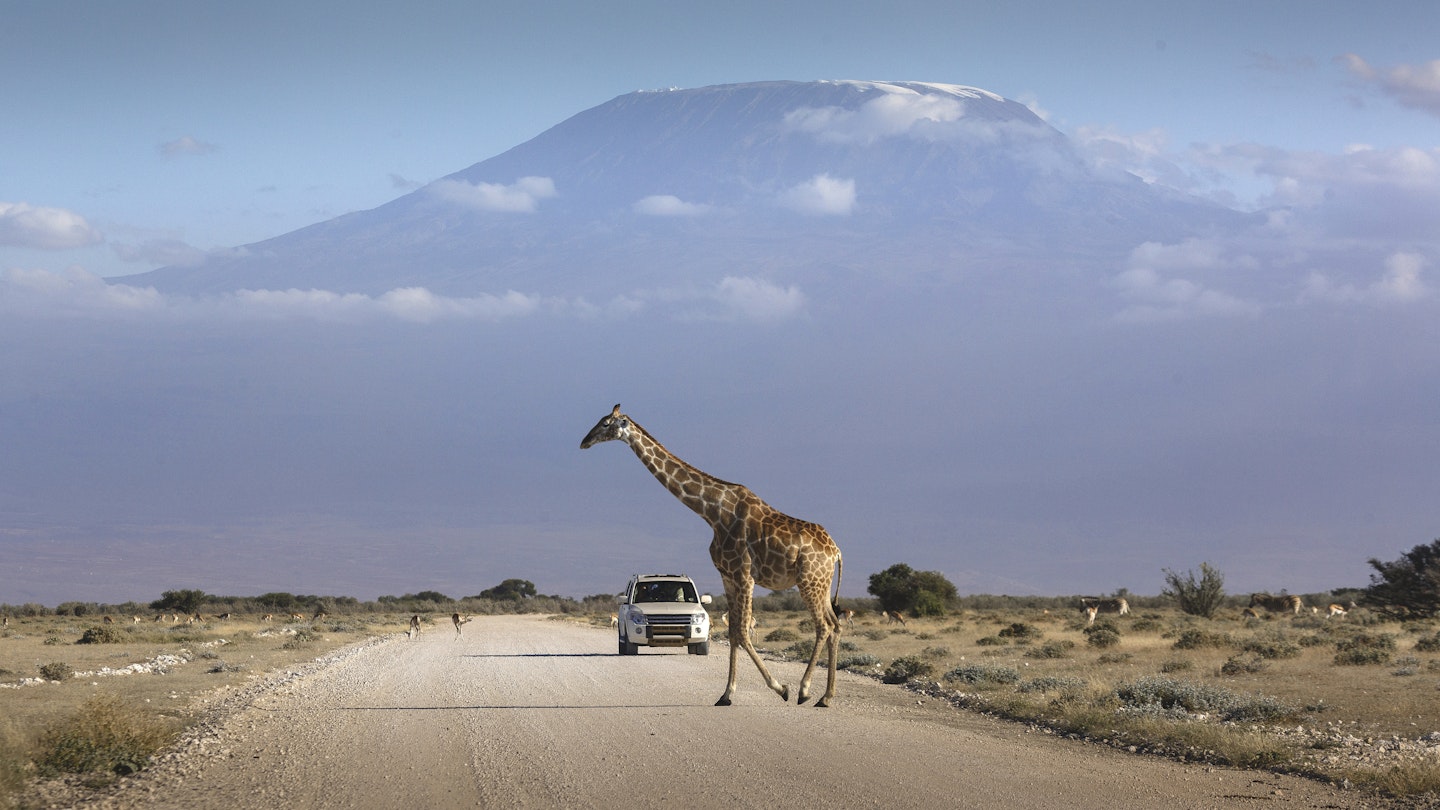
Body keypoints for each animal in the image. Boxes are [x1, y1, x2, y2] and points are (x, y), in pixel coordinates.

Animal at [581, 404, 844, 707]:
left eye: (605, 424)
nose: (584, 441)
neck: (713, 513)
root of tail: (836, 551)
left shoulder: (744, 574)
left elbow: (742, 631)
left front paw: (780, 688)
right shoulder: (727, 575)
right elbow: (733, 633)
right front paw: (726, 694)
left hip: (809, 581)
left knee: (823, 626)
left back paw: (804, 690)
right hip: (821, 584)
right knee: (835, 625)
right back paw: (826, 696)